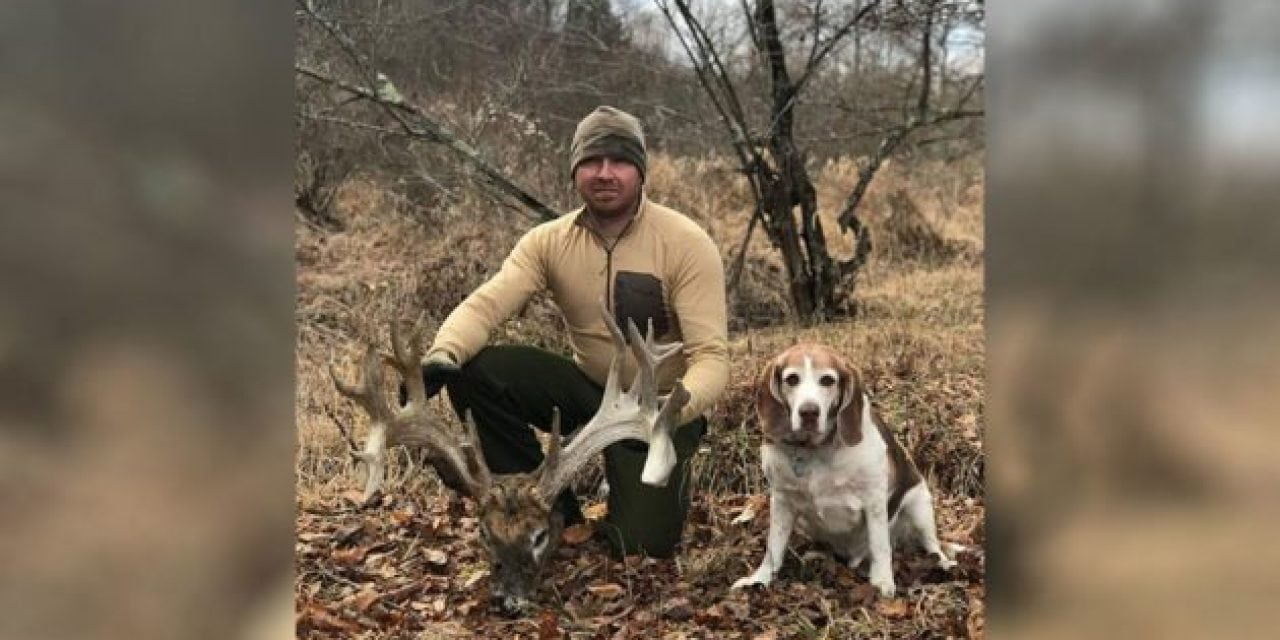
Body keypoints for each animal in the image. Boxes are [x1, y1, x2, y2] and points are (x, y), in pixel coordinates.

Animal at [732, 343, 962, 596]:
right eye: (792, 379)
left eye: (827, 380)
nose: (809, 412)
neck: (815, 450)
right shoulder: (782, 499)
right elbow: (773, 547)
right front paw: (760, 579)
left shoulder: (874, 501)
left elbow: (880, 546)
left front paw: (882, 582)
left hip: (920, 505)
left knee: (932, 545)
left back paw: (944, 563)